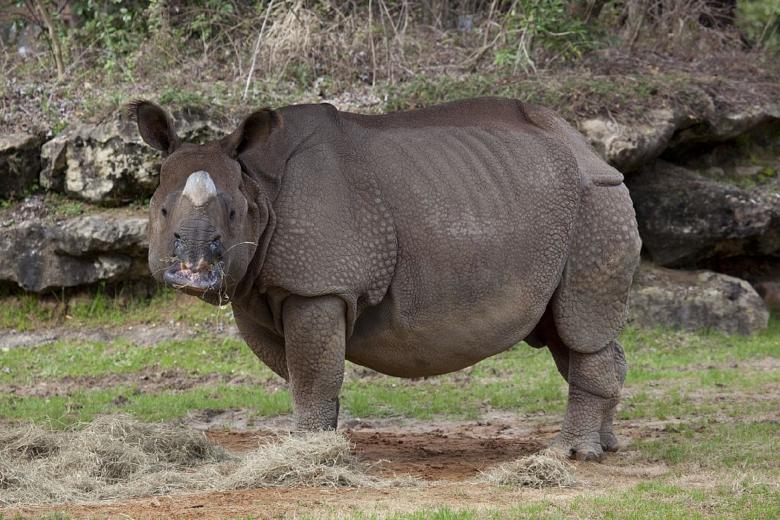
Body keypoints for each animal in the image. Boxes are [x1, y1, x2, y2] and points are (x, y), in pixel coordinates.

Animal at [129, 97, 641, 461]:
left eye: (234, 215)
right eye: (161, 212)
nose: (194, 271)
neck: (259, 185)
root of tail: (590, 152)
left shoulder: (318, 286)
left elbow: (312, 374)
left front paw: (308, 453)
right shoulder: (258, 290)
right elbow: (303, 373)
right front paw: (325, 443)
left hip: (597, 205)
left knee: (580, 325)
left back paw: (571, 455)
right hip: (559, 209)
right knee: (565, 332)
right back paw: (607, 446)